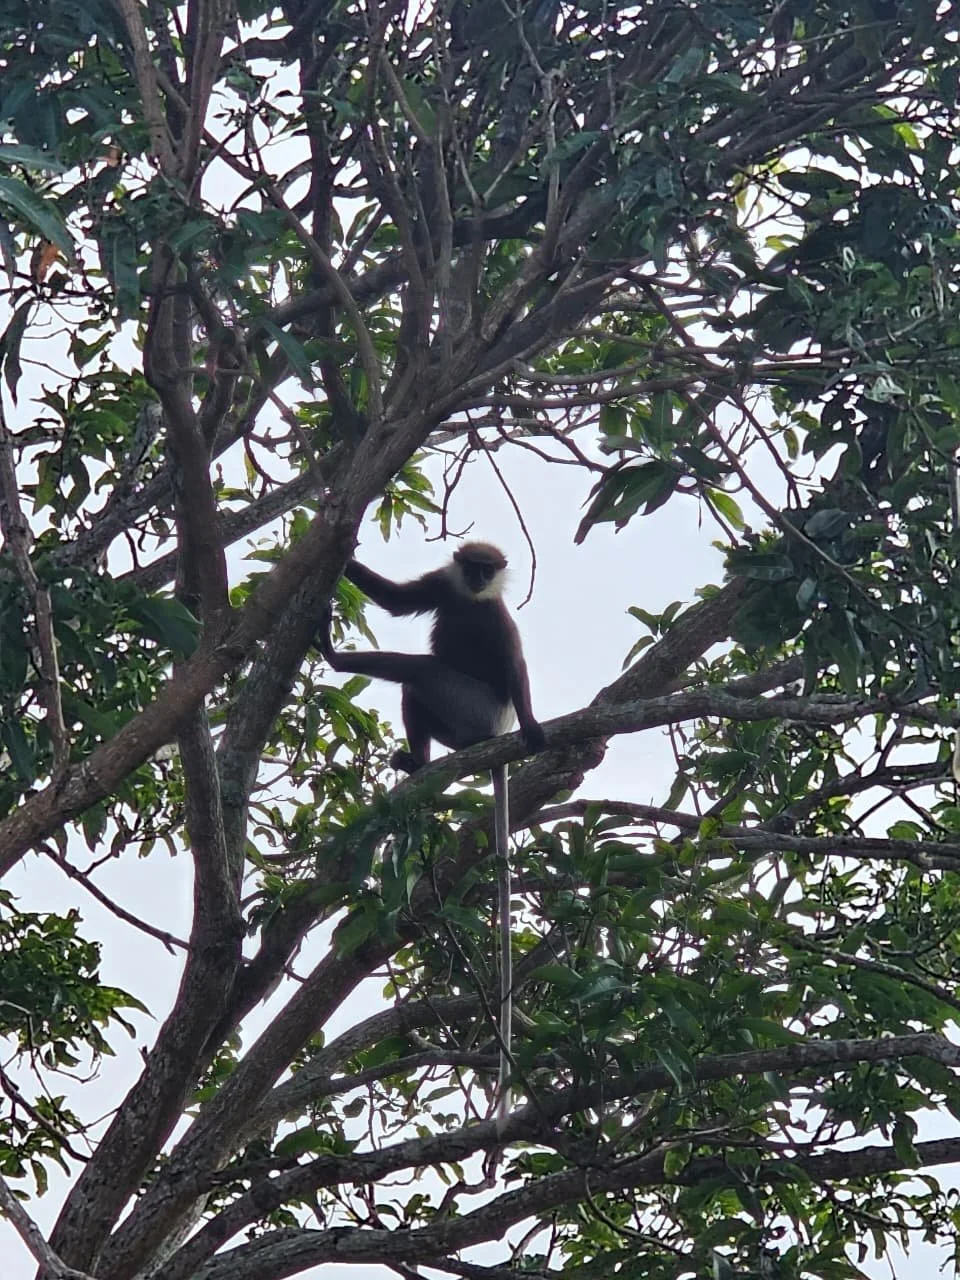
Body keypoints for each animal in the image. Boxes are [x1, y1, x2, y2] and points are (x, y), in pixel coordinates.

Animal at [324, 541, 545, 1128]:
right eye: (471, 566)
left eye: (488, 570)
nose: (479, 578)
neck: (471, 600)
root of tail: (491, 737)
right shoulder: (446, 588)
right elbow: (396, 601)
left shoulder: (494, 619)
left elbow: (516, 669)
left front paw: (535, 725)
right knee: (412, 685)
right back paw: (417, 762)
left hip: (471, 711)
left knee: (418, 671)